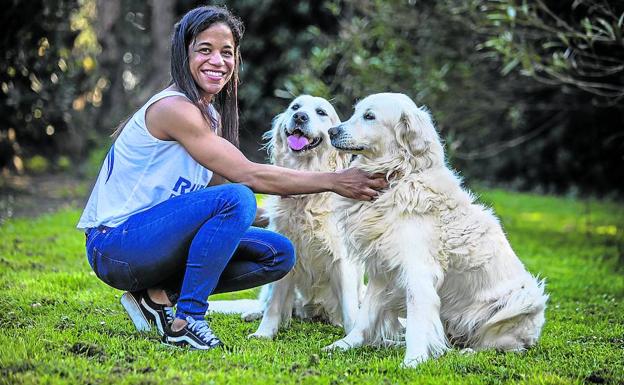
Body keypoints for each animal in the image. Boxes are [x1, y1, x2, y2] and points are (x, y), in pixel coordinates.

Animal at [324, 92, 548, 366]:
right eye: (356, 112)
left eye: (369, 116)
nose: (332, 131)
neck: (398, 176)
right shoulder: (383, 270)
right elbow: (365, 316)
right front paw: (345, 344)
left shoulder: (418, 270)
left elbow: (418, 319)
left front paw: (413, 360)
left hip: (522, 300)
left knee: (502, 346)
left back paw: (468, 351)